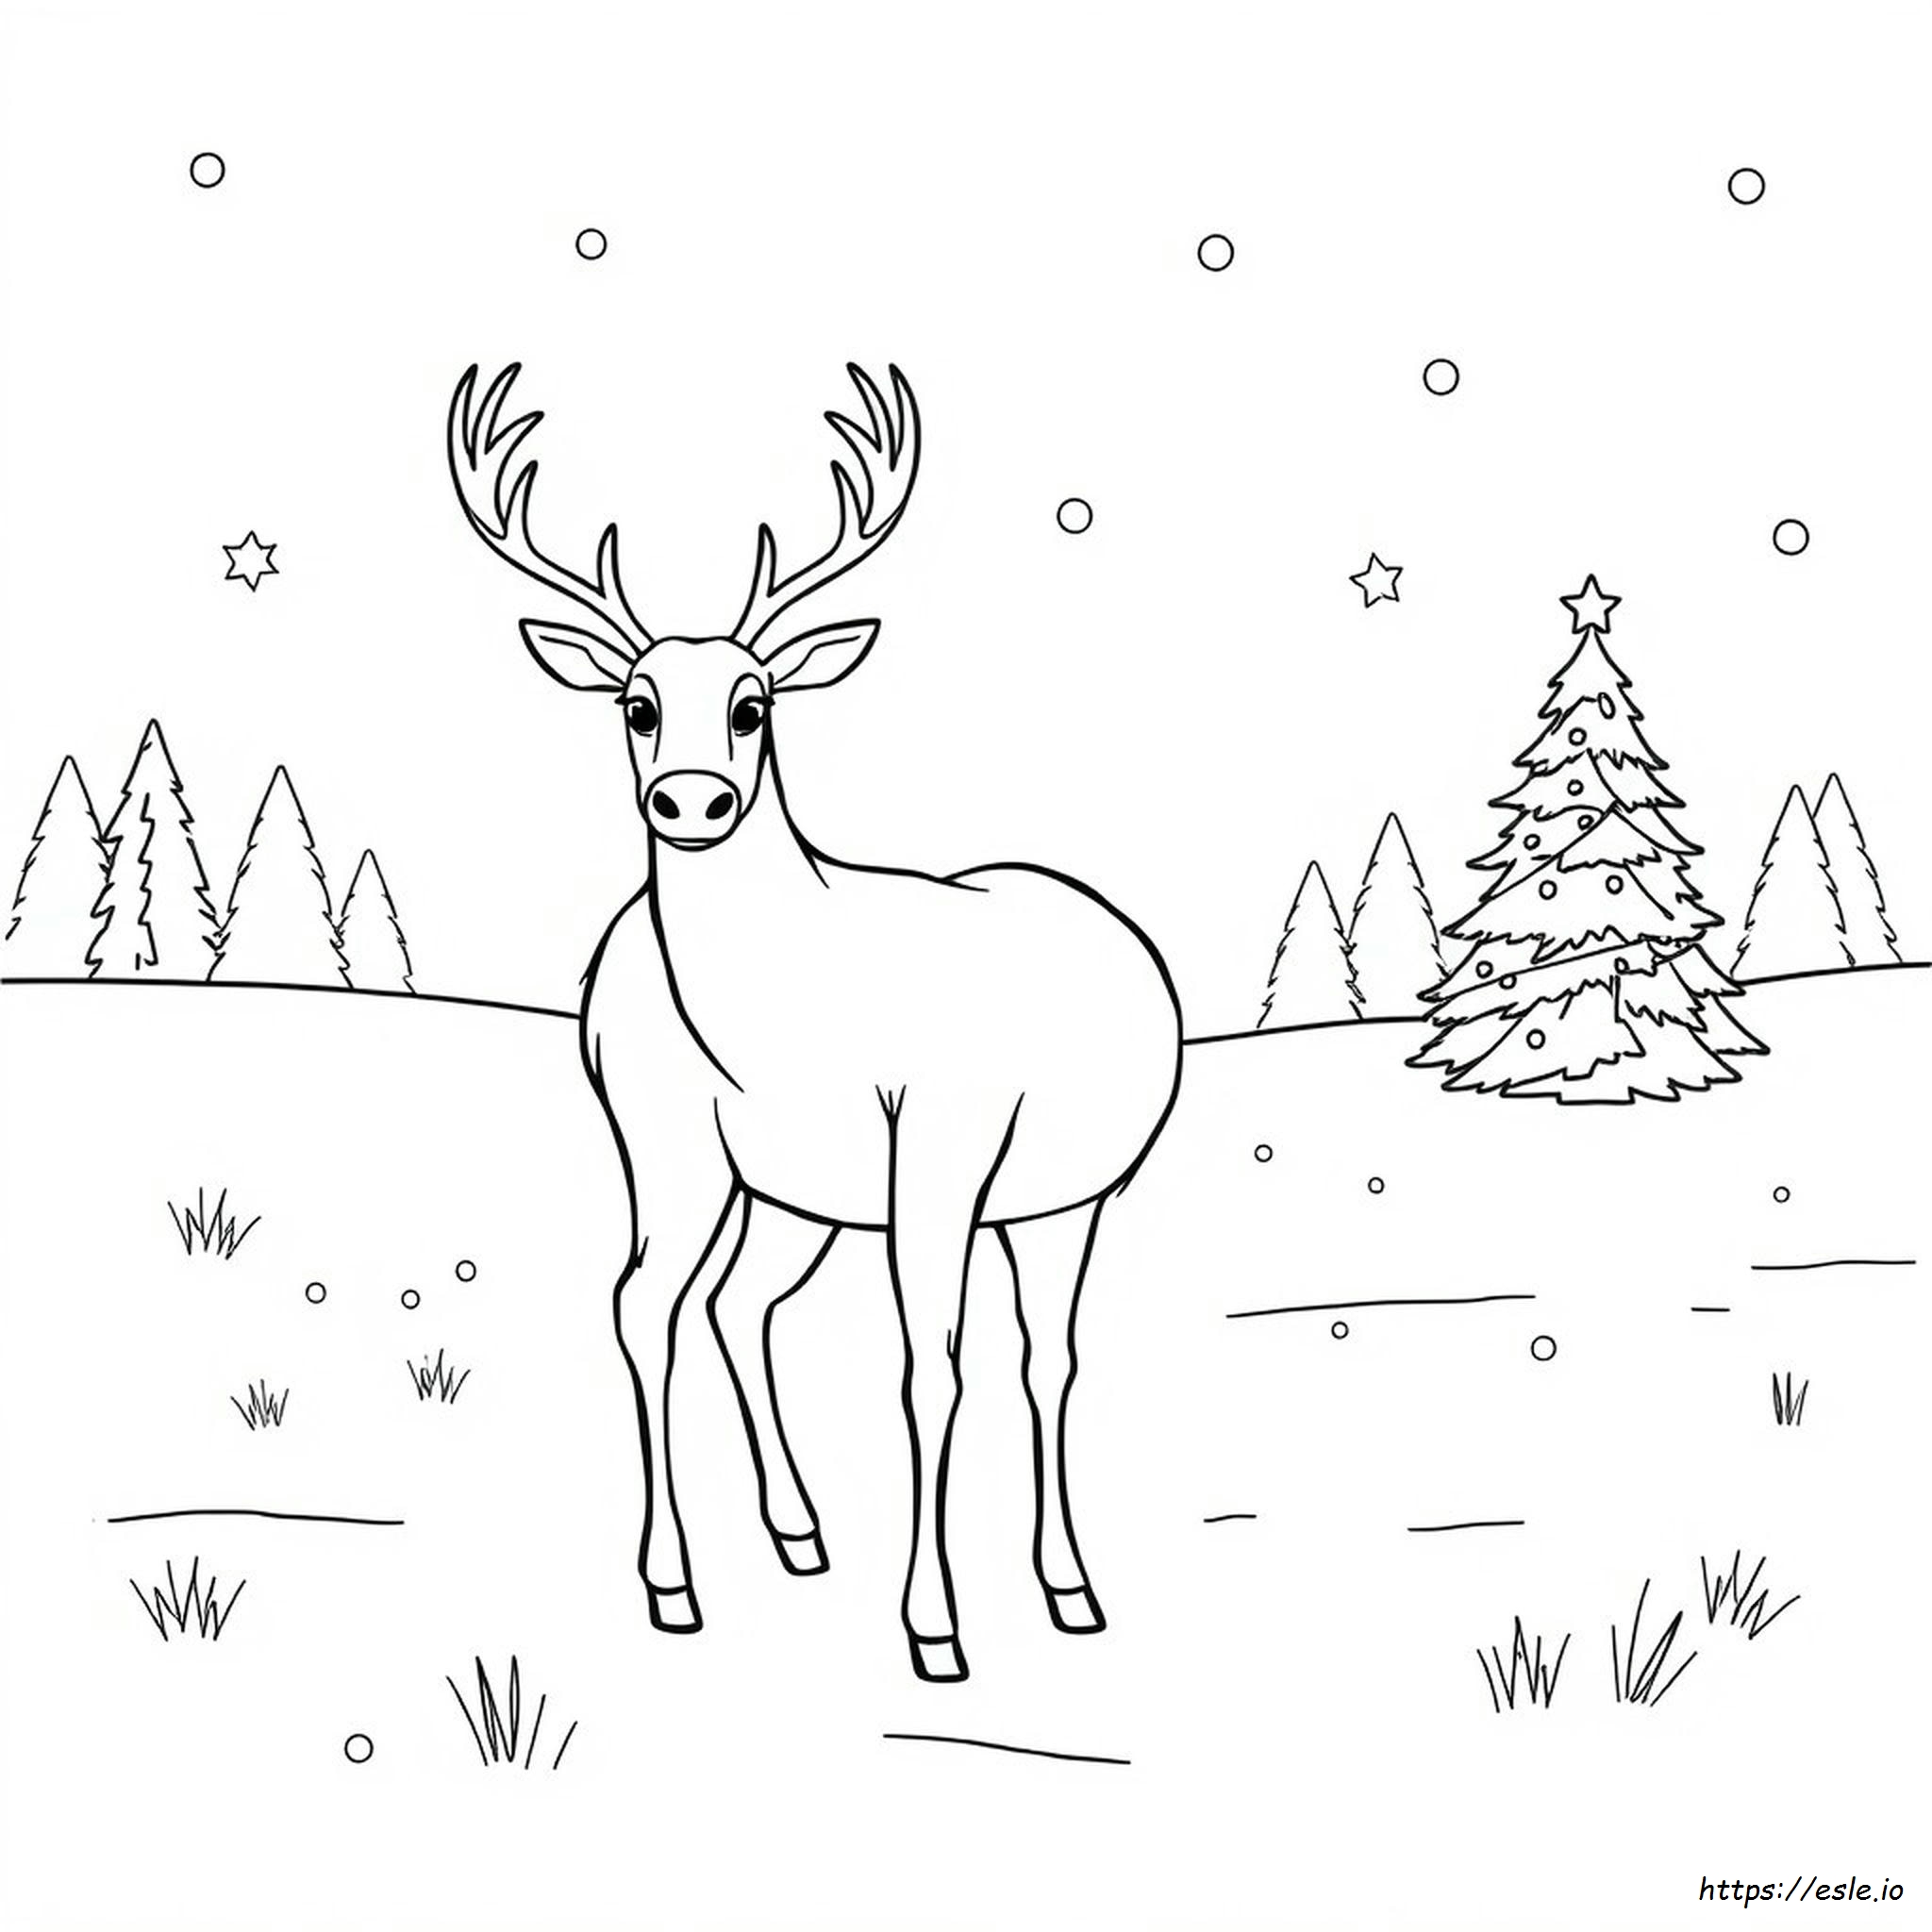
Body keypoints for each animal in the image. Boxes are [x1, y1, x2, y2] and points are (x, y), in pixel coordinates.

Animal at [448, 360, 1182, 1681]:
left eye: (753, 703)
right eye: (636, 703)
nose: (691, 800)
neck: (795, 995)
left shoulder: (1019, 1179)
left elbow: (1037, 1364)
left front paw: (1066, 1585)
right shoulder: (923, 1153)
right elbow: (930, 1370)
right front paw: (935, 1625)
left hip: (802, 1190)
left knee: (733, 1304)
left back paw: (797, 1531)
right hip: (678, 1144)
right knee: (652, 1302)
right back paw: (676, 1578)